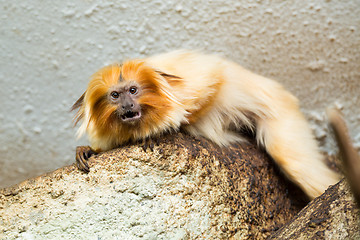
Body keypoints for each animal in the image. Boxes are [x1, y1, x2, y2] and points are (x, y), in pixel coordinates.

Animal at [71, 50, 338, 199]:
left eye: (133, 90)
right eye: (115, 95)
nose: (127, 106)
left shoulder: (190, 81)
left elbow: (214, 79)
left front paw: (163, 130)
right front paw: (88, 150)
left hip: (281, 111)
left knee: (295, 162)